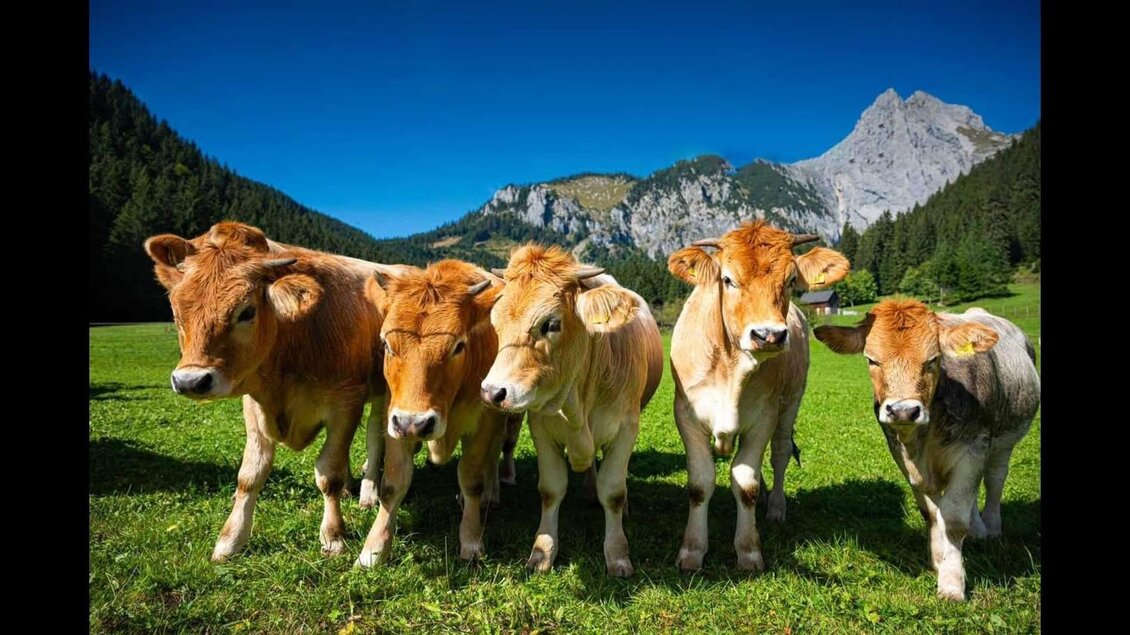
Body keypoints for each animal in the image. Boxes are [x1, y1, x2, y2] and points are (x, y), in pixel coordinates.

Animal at [144, 221, 389, 561]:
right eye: (178, 314)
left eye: (247, 312)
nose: (190, 381)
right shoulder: (254, 405)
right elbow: (250, 475)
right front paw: (230, 539)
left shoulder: (346, 401)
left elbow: (328, 473)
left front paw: (332, 536)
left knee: (374, 435)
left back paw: (369, 491)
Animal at [355, 260, 522, 566]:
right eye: (386, 343)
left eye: (458, 346)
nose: (415, 424)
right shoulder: (396, 416)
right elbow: (393, 484)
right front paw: (374, 548)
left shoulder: (485, 420)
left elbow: (472, 479)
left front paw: (470, 540)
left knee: (494, 455)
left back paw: (491, 492)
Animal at [480, 245, 663, 577]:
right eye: (495, 323)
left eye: (551, 324)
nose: (493, 392)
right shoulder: (541, 428)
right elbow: (551, 490)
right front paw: (542, 552)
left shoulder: (626, 428)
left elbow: (613, 491)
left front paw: (617, 554)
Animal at [666, 220, 850, 572]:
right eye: (727, 279)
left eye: (791, 281)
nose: (769, 335)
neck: (731, 369)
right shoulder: (686, 414)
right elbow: (700, 484)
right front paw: (692, 550)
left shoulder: (764, 416)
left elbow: (746, 483)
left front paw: (749, 550)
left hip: (791, 402)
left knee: (779, 454)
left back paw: (776, 508)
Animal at [813, 301, 1040, 601]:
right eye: (872, 360)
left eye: (932, 360)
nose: (903, 411)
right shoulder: (904, 457)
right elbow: (933, 514)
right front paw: (940, 560)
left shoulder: (973, 449)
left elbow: (953, 519)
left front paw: (952, 583)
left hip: (1004, 441)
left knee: (994, 480)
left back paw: (991, 528)